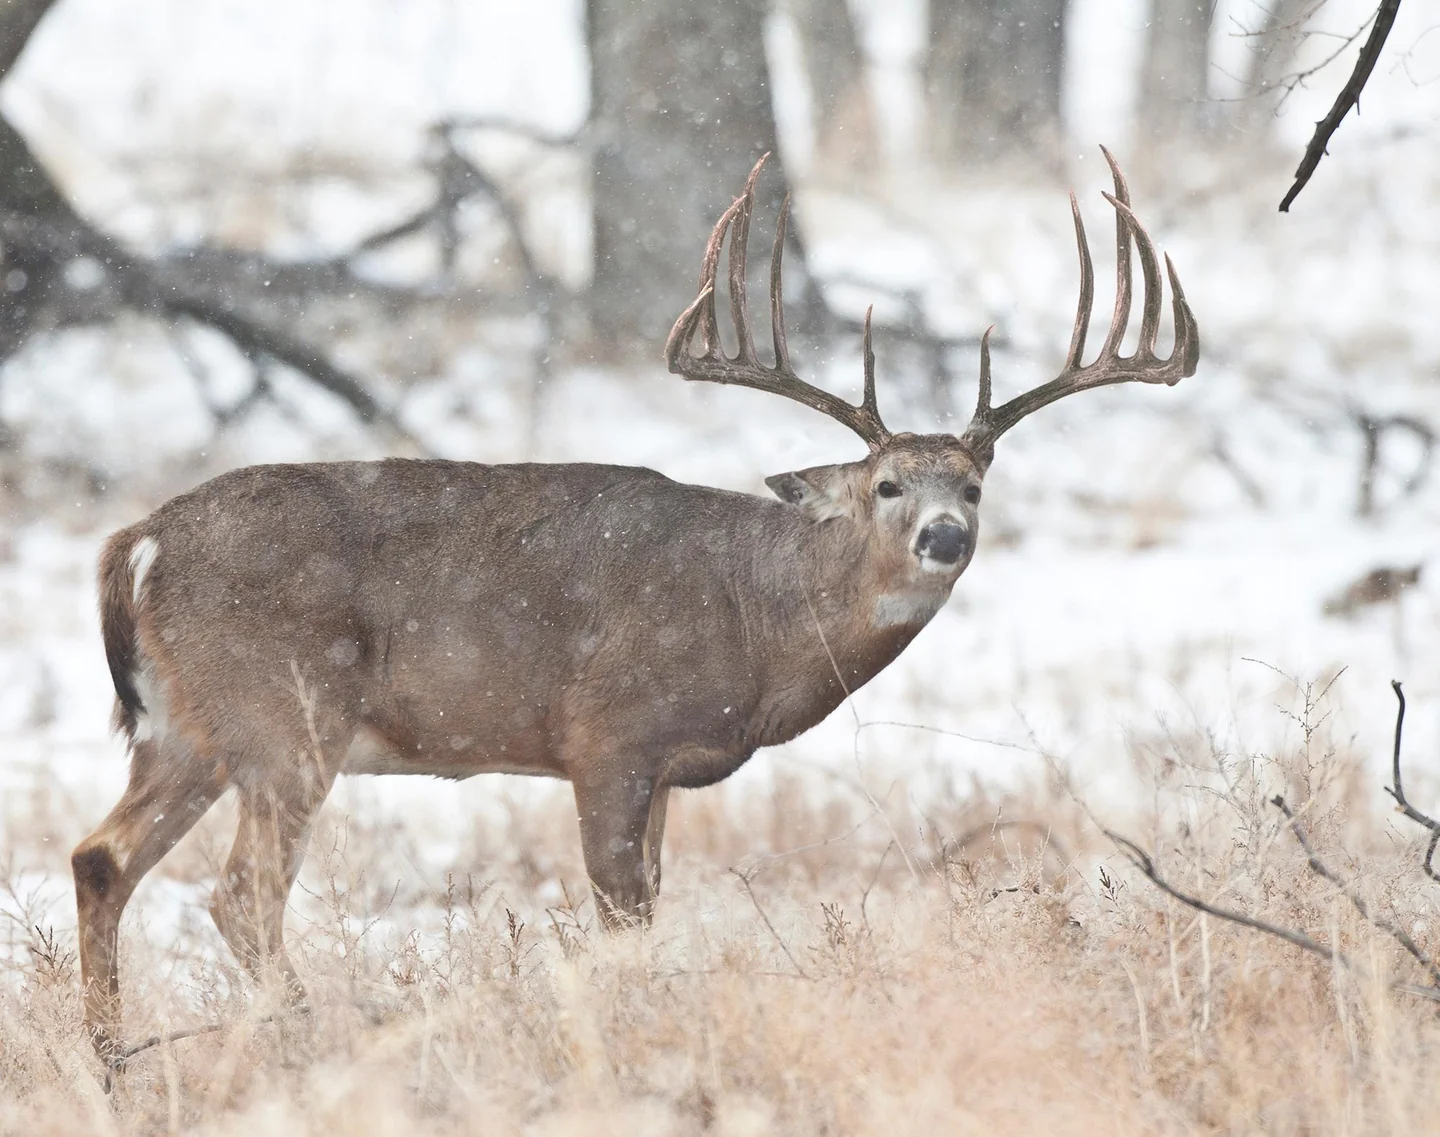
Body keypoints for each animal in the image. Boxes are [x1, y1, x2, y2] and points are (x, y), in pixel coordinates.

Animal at [72, 149, 1197, 1061]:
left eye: (972, 484)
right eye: (887, 485)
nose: (946, 537)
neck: (757, 619)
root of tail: (140, 541)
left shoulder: (661, 768)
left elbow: (648, 910)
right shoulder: (608, 735)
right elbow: (622, 915)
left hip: (184, 729)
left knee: (100, 859)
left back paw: (110, 1054)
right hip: (285, 720)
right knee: (238, 897)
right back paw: (314, 1034)